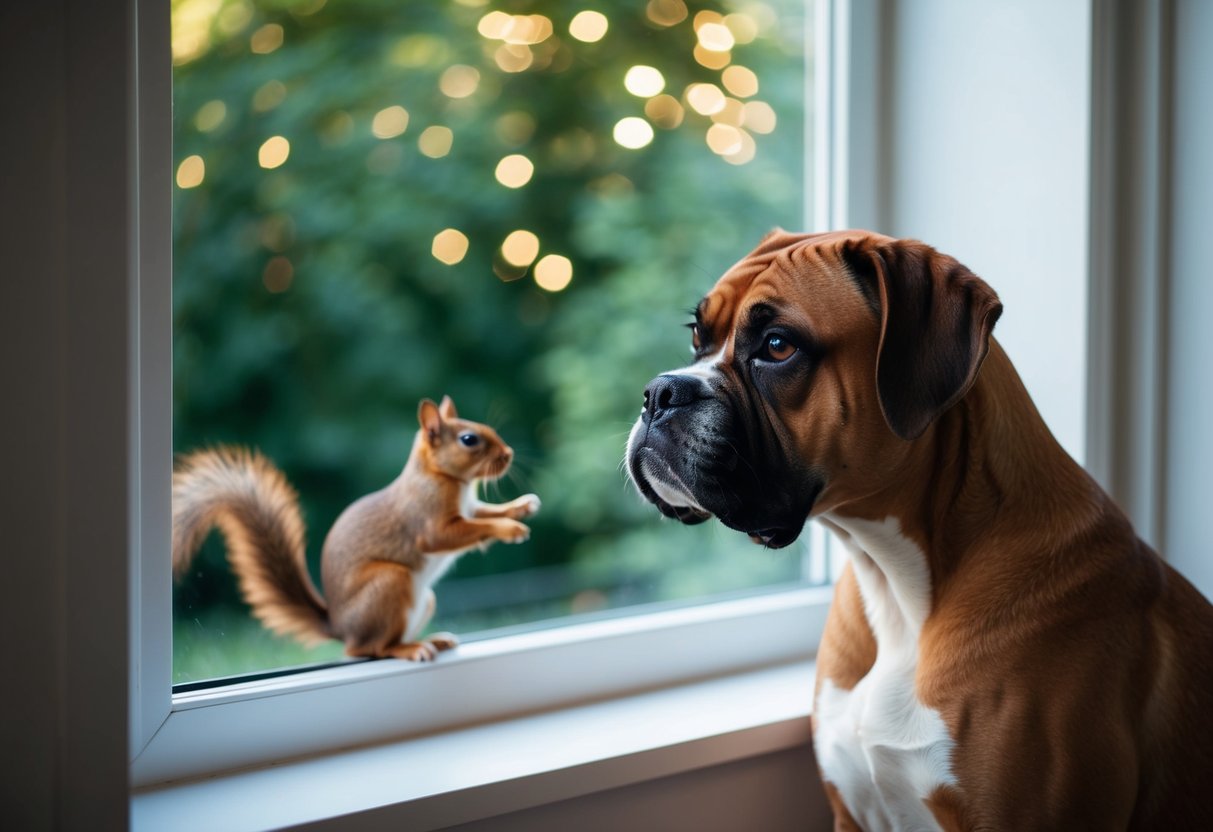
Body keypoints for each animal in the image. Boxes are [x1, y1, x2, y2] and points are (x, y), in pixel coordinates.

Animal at [171, 396, 540, 661]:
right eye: (468, 439)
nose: (509, 453)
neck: (446, 479)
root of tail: (339, 627)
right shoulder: (428, 522)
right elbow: (464, 530)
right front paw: (510, 529)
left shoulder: (469, 508)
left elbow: (487, 511)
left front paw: (523, 506)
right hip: (390, 583)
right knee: (369, 649)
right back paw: (411, 649)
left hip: (423, 601)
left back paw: (434, 640)